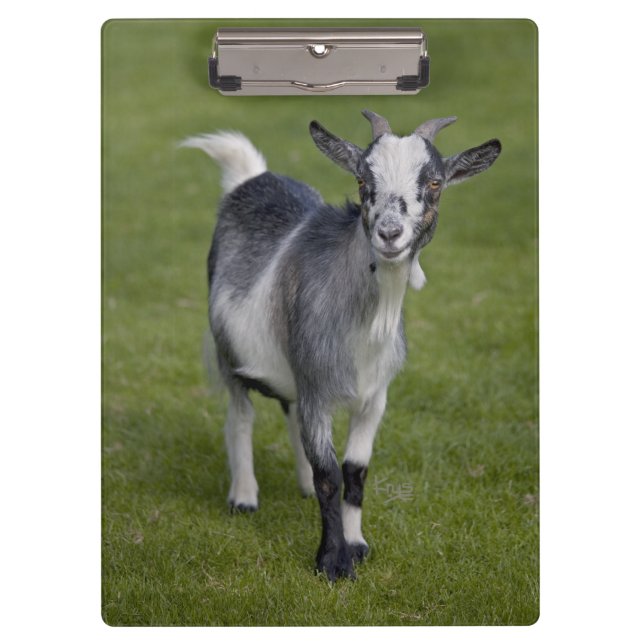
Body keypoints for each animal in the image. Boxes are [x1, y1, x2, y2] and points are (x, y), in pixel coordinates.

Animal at [182, 111, 501, 581]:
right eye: (362, 180)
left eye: (435, 182)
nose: (389, 233)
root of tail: (253, 177)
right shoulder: (317, 387)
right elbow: (329, 474)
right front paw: (332, 563)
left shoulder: (374, 397)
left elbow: (354, 473)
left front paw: (357, 544)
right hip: (230, 353)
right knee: (241, 415)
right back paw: (243, 496)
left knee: (290, 414)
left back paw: (299, 485)